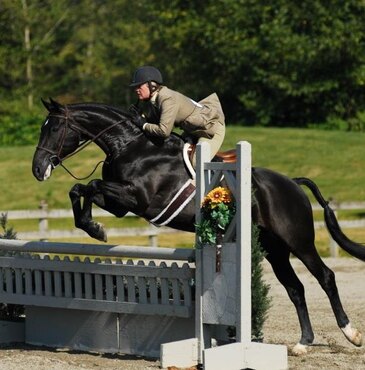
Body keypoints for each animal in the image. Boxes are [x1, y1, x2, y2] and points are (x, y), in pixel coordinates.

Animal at [32, 98, 362, 356]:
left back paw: (351, 334)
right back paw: (303, 343)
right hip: (273, 249)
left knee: (325, 277)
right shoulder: (121, 204)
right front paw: (93, 227)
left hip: (298, 241)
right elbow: (81, 189)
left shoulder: (139, 199)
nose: (38, 169)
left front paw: (95, 228)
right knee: (295, 288)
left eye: (54, 128)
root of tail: (292, 183)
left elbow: (90, 185)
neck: (132, 147)